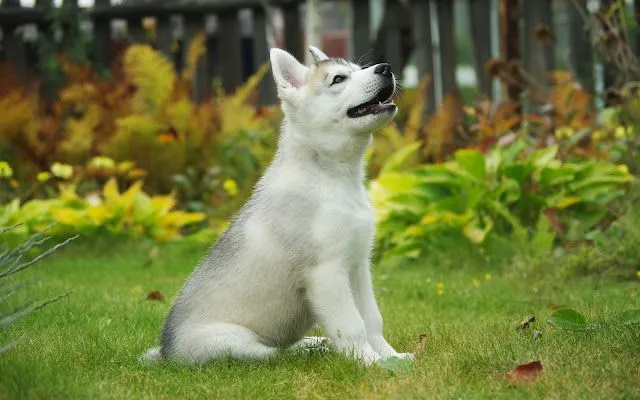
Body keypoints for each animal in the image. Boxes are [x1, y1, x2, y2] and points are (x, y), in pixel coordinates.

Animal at [140, 45, 412, 364]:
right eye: (338, 79)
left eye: (358, 69)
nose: (385, 68)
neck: (334, 177)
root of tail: (166, 352)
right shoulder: (327, 273)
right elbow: (352, 325)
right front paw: (370, 362)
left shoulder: (357, 267)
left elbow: (371, 319)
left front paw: (392, 357)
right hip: (235, 343)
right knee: (275, 355)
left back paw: (314, 343)